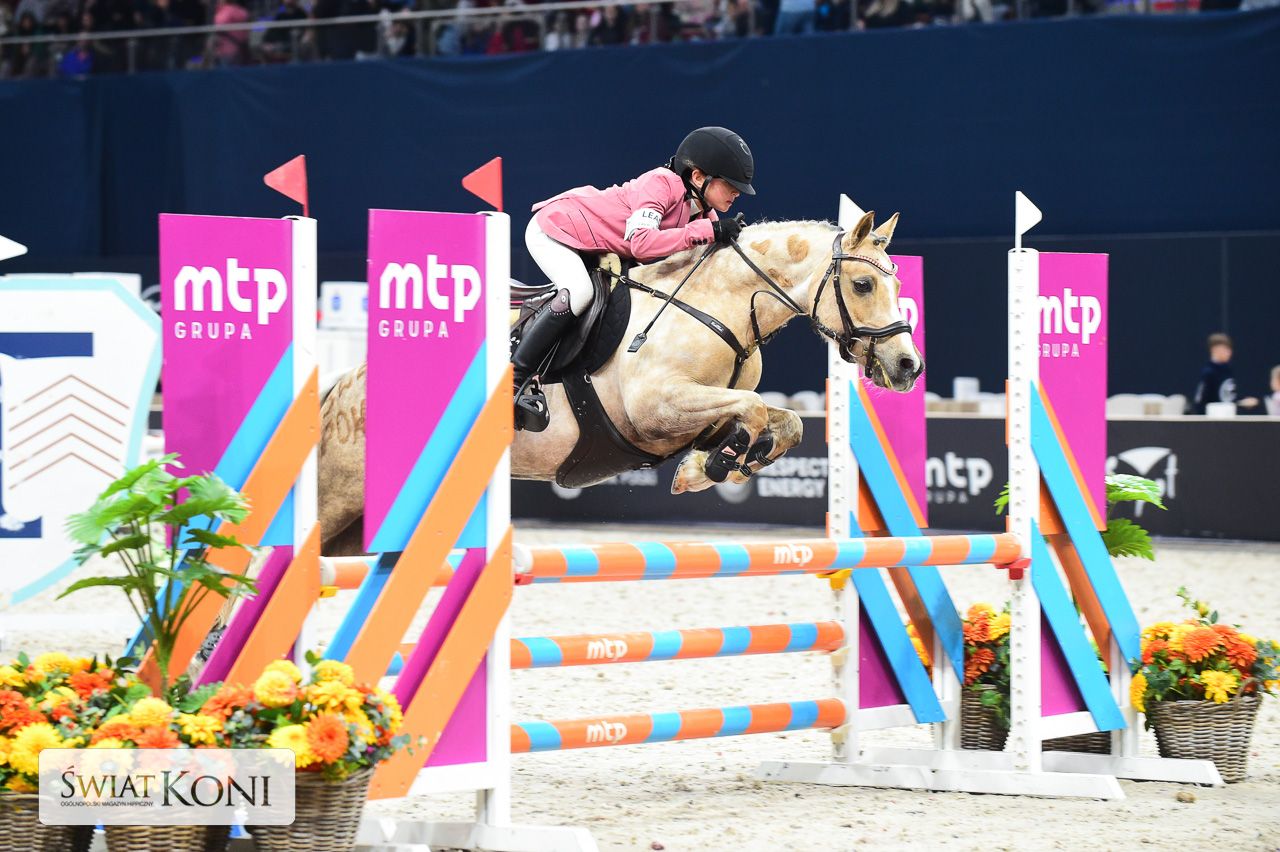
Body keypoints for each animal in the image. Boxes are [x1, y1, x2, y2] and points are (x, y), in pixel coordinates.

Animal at [318, 210, 922, 556]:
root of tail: (341, 391)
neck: (716, 307)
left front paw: (714, 465)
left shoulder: (695, 412)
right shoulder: (655, 408)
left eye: (897, 286)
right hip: (339, 499)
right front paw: (715, 466)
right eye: (863, 285)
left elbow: (783, 420)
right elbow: (750, 410)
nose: (907, 366)